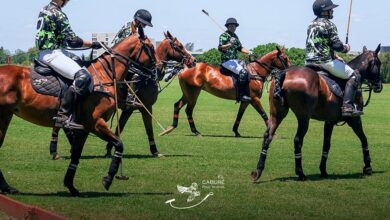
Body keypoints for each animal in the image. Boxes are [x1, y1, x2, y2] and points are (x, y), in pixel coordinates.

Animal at [0, 33, 160, 196]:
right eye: (150, 47)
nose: (158, 71)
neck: (104, 76)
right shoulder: (95, 123)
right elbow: (119, 144)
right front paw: (108, 179)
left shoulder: (84, 128)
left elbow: (76, 155)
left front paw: (71, 186)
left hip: (6, 116)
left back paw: (7, 187)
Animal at [48, 31, 195, 159]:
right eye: (180, 46)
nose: (193, 60)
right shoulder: (145, 106)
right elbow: (148, 129)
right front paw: (155, 151)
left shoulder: (129, 109)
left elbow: (119, 127)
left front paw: (109, 148)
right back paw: (56, 150)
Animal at [160, 46, 290, 137]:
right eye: (284, 58)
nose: (290, 69)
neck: (256, 72)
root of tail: (184, 67)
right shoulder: (254, 99)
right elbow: (264, 114)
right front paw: (272, 133)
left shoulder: (246, 100)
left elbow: (239, 115)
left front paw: (236, 132)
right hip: (193, 93)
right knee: (188, 110)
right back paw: (195, 131)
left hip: (188, 93)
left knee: (177, 105)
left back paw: (172, 127)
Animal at [251, 43, 382, 181]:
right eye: (378, 63)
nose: (379, 86)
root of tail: (285, 73)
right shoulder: (354, 119)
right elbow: (364, 139)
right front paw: (368, 167)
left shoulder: (330, 121)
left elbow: (326, 144)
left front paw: (323, 170)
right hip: (303, 117)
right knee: (297, 139)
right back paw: (300, 173)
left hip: (277, 114)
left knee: (268, 136)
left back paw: (258, 171)